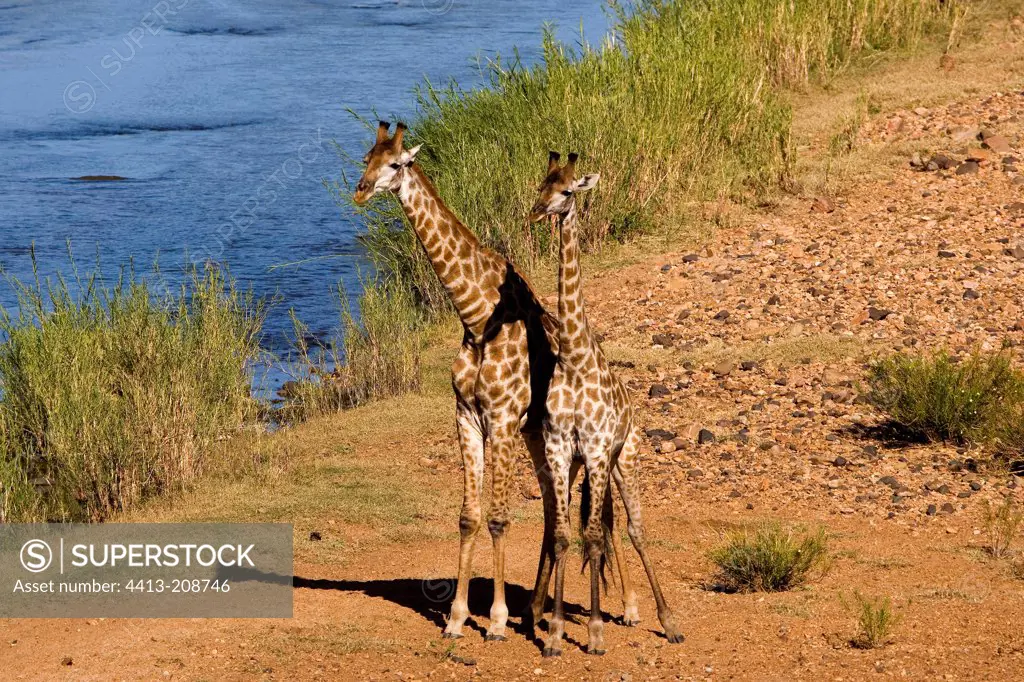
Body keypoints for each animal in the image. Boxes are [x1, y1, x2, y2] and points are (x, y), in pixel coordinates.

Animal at [528, 150, 688, 655]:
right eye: (540, 185)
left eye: (566, 190)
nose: (536, 213)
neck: (575, 358)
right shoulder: (563, 450)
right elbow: (565, 535)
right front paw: (556, 633)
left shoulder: (599, 450)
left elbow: (595, 535)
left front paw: (596, 632)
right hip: (588, 465)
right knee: (602, 524)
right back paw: (629, 609)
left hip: (625, 457)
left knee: (632, 527)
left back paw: (666, 620)